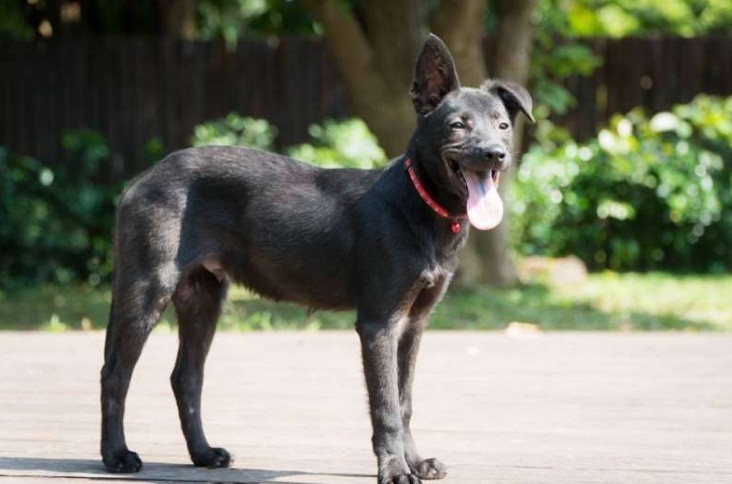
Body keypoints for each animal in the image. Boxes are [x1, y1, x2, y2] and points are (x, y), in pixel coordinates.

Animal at [100, 33, 533, 484]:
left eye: (503, 125)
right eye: (457, 125)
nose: (495, 153)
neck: (419, 205)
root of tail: (140, 180)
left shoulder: (414, 323)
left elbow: (404, 400)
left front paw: (415, 462)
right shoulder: (379, 323)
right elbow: (386, 405)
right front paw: (395, 468)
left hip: (203, 297)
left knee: (186, 377)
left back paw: (203, 453)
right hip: (146, 287)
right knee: (115, 373)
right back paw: (117, 455)